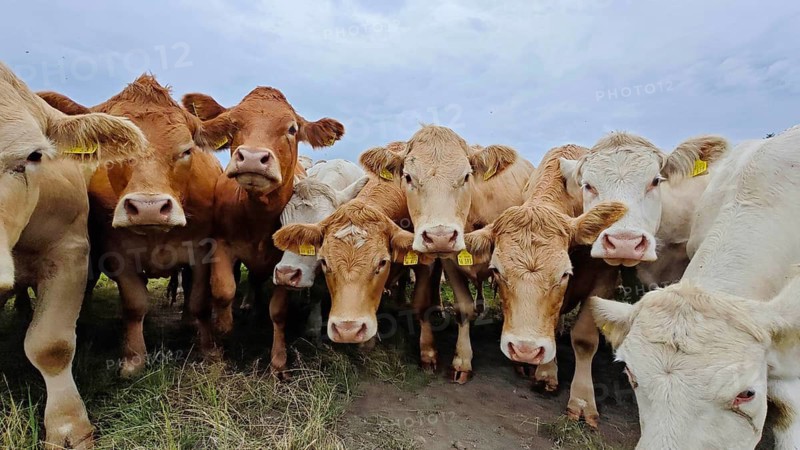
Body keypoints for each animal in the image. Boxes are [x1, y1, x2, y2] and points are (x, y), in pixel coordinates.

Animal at [39, 75, 232, 378]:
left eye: (187, 150)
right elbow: (134, 305)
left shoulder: (202, 253)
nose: (148, 207)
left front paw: (210, 352)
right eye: (118, 149)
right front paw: (133, 359)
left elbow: (200, 301)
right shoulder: (118, 255)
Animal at [181, 88, 344, 377]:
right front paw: (223, 328)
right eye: (233, 124)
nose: (253, 158)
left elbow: (278, 311)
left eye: (292, 129)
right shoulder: (220, 244)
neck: (256, 217)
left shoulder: (284, 262)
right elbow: (223, 289)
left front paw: (278, 362)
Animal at [358, 125, 535, 383]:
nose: (439, 236)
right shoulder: (447, 261)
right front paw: (452, 358)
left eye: (466, 176)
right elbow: (459, 307)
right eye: (408, 177)